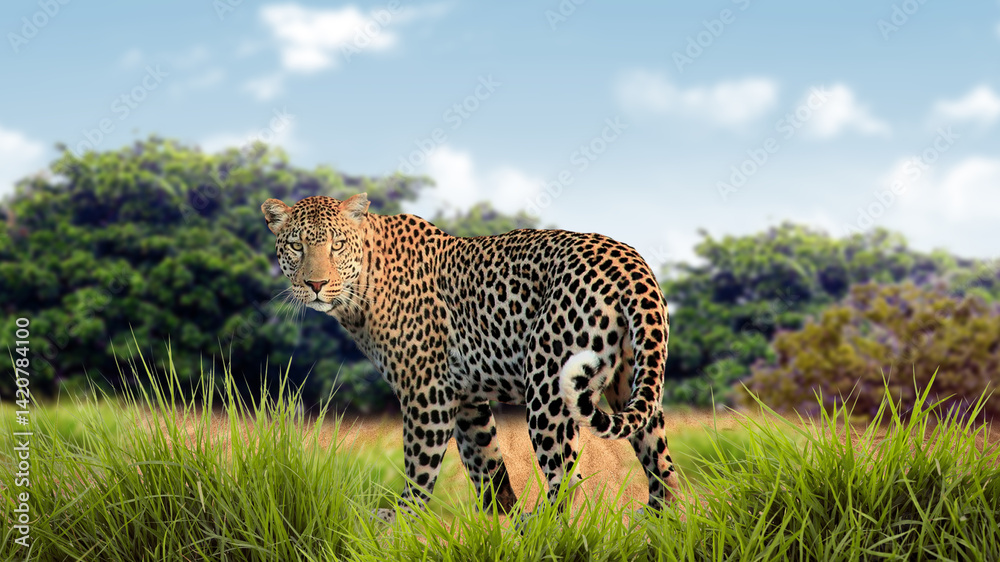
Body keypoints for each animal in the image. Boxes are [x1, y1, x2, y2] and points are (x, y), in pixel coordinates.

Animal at [261, 192, 680, 523]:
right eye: (296, 246)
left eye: (336, 245)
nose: (316, 284)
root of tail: (630, 262)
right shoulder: (465, 397)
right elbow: (487, 464)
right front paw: (498, 520)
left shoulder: (427, 392)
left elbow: (420, 469)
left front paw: (398, 524)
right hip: (632, 382)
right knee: (664, 469)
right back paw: (658, 524)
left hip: (548, 387)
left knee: (568, 477)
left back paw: (543, 527)